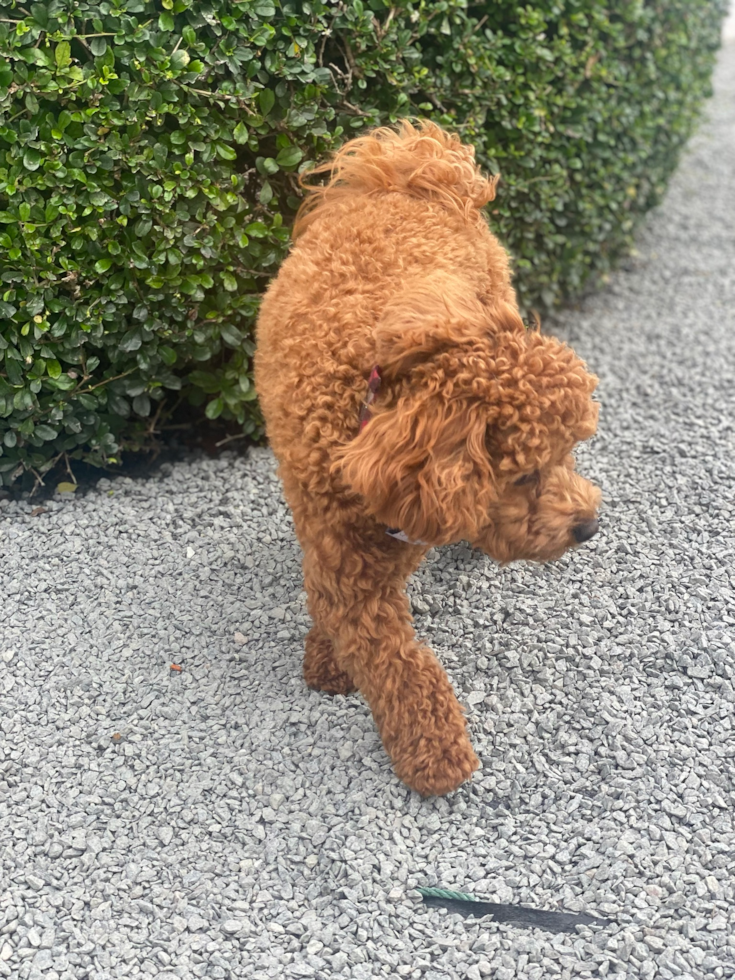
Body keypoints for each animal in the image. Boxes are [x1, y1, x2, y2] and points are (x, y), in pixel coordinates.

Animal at [256, 120, 600, 796]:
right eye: (524, 474)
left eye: (569, 455)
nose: (589, 526)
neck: (365, 409)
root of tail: (414, 172)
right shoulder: (346, 555)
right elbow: (397, 663)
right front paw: (436, 754)